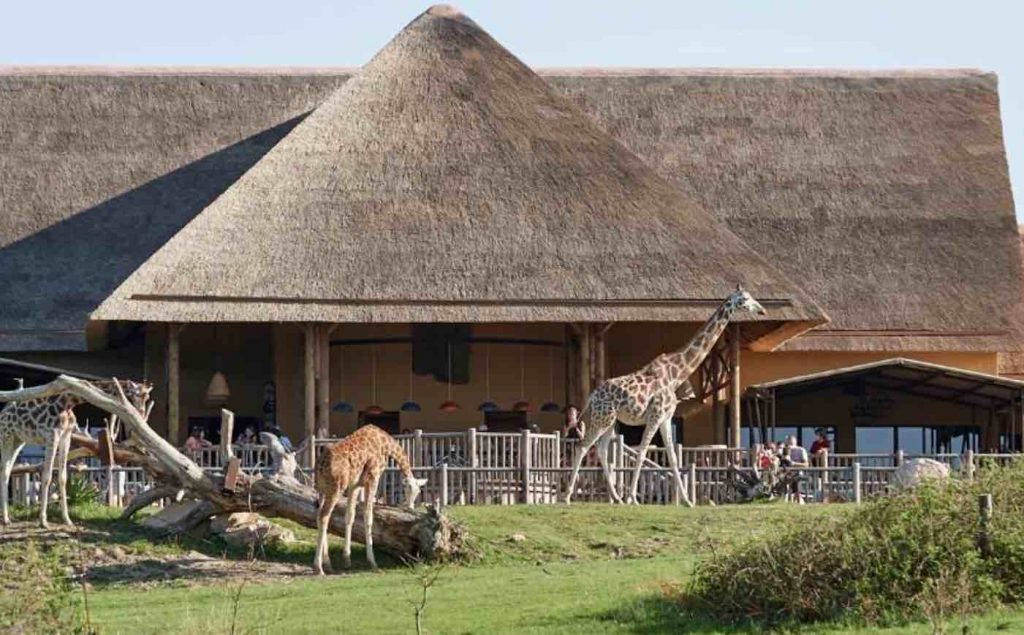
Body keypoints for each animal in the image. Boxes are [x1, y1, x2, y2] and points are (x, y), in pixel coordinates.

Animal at [0, 378, 150, 528]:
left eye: (147, 397)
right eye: (138, 394)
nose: (140, 414)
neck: (67, 402)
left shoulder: (66, 436)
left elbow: (63, 477)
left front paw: (67, 519)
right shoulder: (52, 435)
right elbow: (47, 476)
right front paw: (43, 521)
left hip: (17, 440)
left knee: (6, 471)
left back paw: (6, 518)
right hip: (6, 436)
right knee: (5, 470)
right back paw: (6, 518)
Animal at [309, 424, 425, 573]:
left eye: (418, 492)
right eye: (408, 489)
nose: (410, 507)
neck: (385, 444)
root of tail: (320, 464)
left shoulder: (355, 485)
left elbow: (350, 517)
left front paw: (347, 559)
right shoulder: (372, 478)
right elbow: (368, 517)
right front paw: (372, 562)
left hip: (322, 489)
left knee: (318, 515)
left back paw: (327, 563)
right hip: (336, 489)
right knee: (324, 516)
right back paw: (318, 567)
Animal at [561, 286, 770, 505]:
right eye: (745, 298)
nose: (762, 310)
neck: (678, 374)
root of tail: (592, 396)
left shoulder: (666, 418)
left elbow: (673, 456)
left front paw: (687, 501)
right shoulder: (656, 415)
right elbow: (642, 452)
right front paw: (633, 498)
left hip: (610, 421)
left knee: (601, 450)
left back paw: (616, 498)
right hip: (602, 418)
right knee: (582, 446)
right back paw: (568, 496)